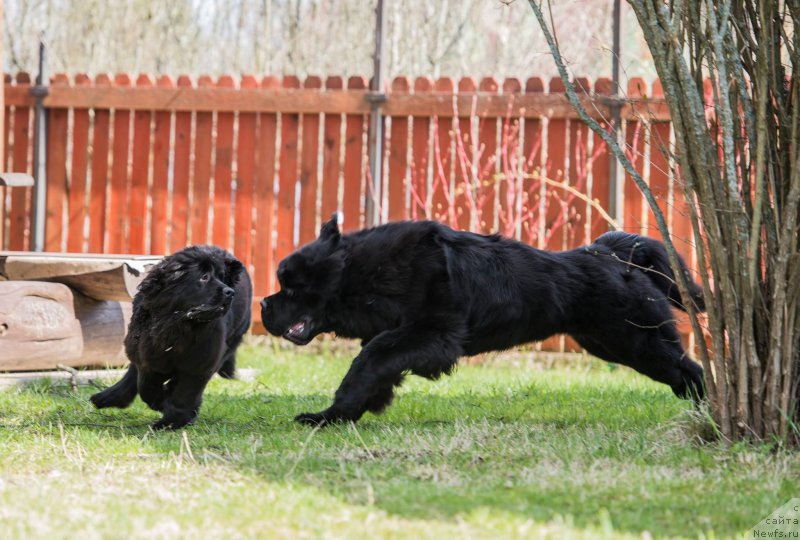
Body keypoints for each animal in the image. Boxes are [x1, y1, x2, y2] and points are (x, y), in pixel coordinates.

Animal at [88, 246, 252, 430]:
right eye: (204, 277)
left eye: (222, 278)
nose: (230, 292)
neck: (177, 326)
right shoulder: (149, 356)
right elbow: (146, 387)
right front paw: (162, 403)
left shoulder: (201, 363)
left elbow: (185, 393)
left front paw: (172, 421)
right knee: (133, 372)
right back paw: (109, 396)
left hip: (232, 340)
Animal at [262, 215, 708, 426]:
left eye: (290, 287)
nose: (264, 305)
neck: (365, 273)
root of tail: (613, 253)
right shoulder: (404, 334)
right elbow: (376, 369)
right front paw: (349, 412)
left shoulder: (433, 334)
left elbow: (367, 360)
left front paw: (327, 416)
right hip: (608, 341)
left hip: (633, 339)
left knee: (692, 368)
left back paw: (708, 410)